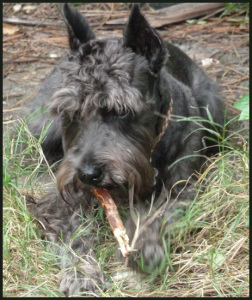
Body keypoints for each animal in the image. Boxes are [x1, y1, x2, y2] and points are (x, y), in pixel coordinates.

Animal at [23, 4, 223, 296]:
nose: (88, 174)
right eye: (71, 114)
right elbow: (74, 233)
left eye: (122, 111)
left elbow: (162, 214)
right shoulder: (65, 200)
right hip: (43, 126)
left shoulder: (182, 187)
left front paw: (145, 244)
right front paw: (81, 274)